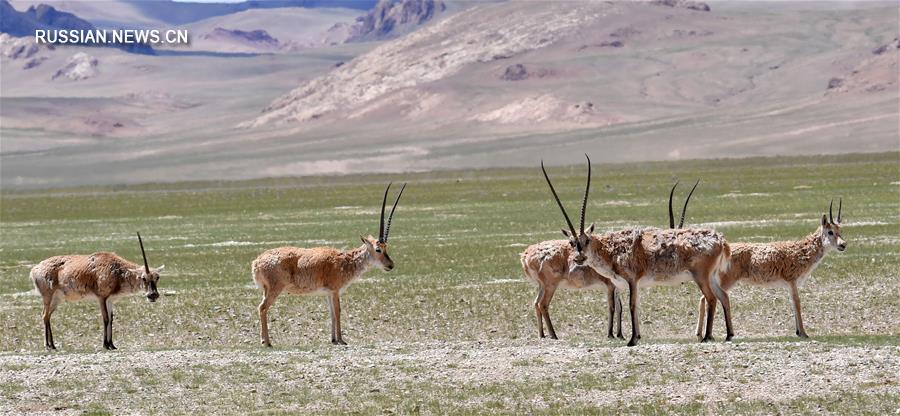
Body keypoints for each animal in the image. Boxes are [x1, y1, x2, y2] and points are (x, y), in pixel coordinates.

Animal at [29, 232, 163, 350]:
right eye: (143, 278)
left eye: (157, 277)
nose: (153, 295)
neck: (117, 271)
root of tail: (35, 269)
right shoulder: (101, 298)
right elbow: (106, 318)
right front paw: (105, 345)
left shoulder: (110, 300)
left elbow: (111, 319)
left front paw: (112, 345)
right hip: (48, 296)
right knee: (44, 315)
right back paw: (48, 345)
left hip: (56, 299)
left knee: (48, 316)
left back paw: (53, 345)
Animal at [253, 184, 408, 346]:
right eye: (378, 249)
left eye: (386, 247)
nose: (390, 265)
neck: (346, 261)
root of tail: (257, 262)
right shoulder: (335, 291)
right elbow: (338, 311)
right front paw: (341, 339)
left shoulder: (328, 293)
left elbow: (332, 314)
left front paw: (333, 339)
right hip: (274, 289)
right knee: (262, 308)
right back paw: (266, 342)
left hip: (267, 290)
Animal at [520, 154, 624, 340]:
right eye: (571, 243)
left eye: (587, 240)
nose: (579, 258)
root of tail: (526, 255)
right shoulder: (610, 286)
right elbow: (612, 307)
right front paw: (610, 334)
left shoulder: (617, 287)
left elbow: (619, 308)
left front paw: (620, 334)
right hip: (550, 285)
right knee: (543, 304)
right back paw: (553, 335)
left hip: (541, 285)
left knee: (536, 303)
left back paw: (542, 334)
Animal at [540, 158, 732, 346]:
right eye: (572, 242)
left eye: (586, 240)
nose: (579, 257)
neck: (611, 249)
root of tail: (720, 241)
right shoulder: (632, 284)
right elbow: (636, 306)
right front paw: (637, 336)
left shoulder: (632, 280)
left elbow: (632, 305)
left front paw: (632, 340)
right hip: (711, 277)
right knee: (723, 296)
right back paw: (729, 335)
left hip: (701, 276)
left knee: (711, 299)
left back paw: (707, 336)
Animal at [692, 198, 848, 338]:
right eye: (830, 231)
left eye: (840, 230)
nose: (843, 244)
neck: (802, 251)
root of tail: (723, 250)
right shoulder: (792, 281)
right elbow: (797, 302)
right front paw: (804, 333)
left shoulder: (790, 284)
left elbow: (793, 303)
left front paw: (798, 332)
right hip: (725, 281)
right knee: (706, 297)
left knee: (705, 298)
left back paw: (701, 334)